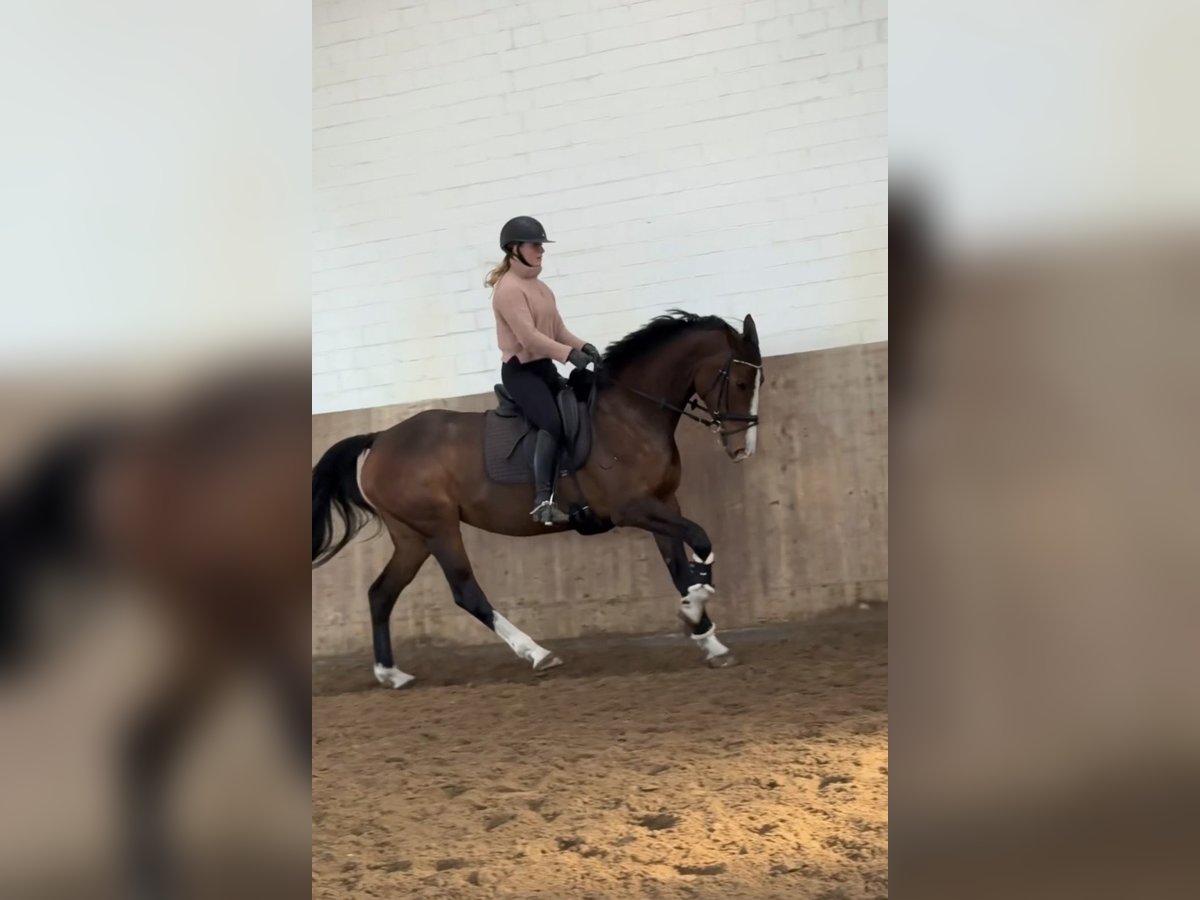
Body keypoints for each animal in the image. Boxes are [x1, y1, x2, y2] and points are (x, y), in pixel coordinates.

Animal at [311, 310, 764, 688]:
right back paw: (537, 653)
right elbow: (701, 541)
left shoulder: (665, 503)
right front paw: (694, 607)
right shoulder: (632, 508)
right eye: (741, 383)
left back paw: (391, 673)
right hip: (438, 527)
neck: (630, 414)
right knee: (465, 591)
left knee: (381, 593)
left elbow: (681, 567)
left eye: (757, 382)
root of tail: (379, 440)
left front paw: (708, 638)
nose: (742, 449)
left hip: (412, 536)